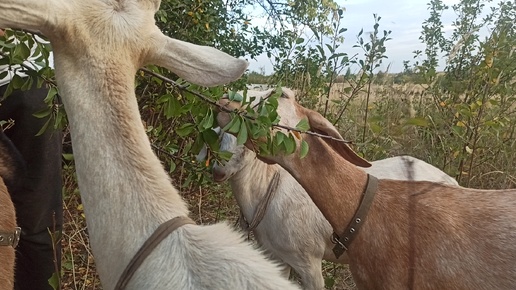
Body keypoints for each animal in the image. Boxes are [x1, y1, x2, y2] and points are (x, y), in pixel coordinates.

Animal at [206, 130, 456, 290]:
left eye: (247, 142)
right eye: (218, 135)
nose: (218, 171)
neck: (268, 189)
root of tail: (452, 180)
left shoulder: (309, 259)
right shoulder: (276, 255)